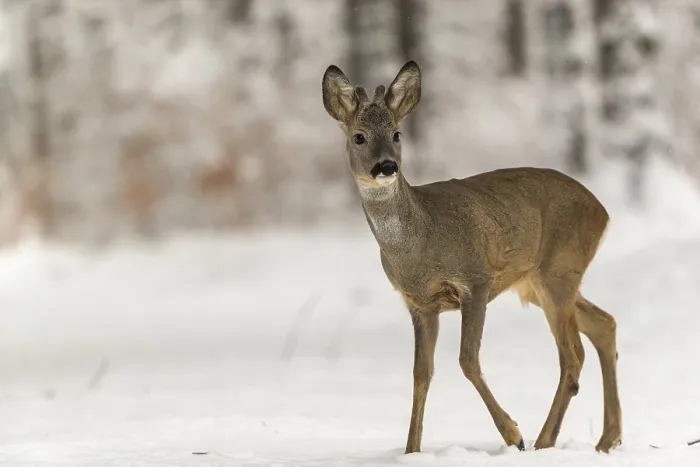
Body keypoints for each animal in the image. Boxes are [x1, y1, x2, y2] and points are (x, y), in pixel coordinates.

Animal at [321, 61, 622, 454]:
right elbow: (421, 373)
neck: (421, 243)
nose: (386, 166)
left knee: (572, 356)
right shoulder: (419, 303)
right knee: (604, 324)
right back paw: (607, 438)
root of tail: (603, 211)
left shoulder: (476, 280)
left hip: (559, 270)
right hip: (539, 283)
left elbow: (467, 360)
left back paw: (543, 442)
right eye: (359, 137)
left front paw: (513, 434)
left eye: (397, 134)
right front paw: (411, 450)